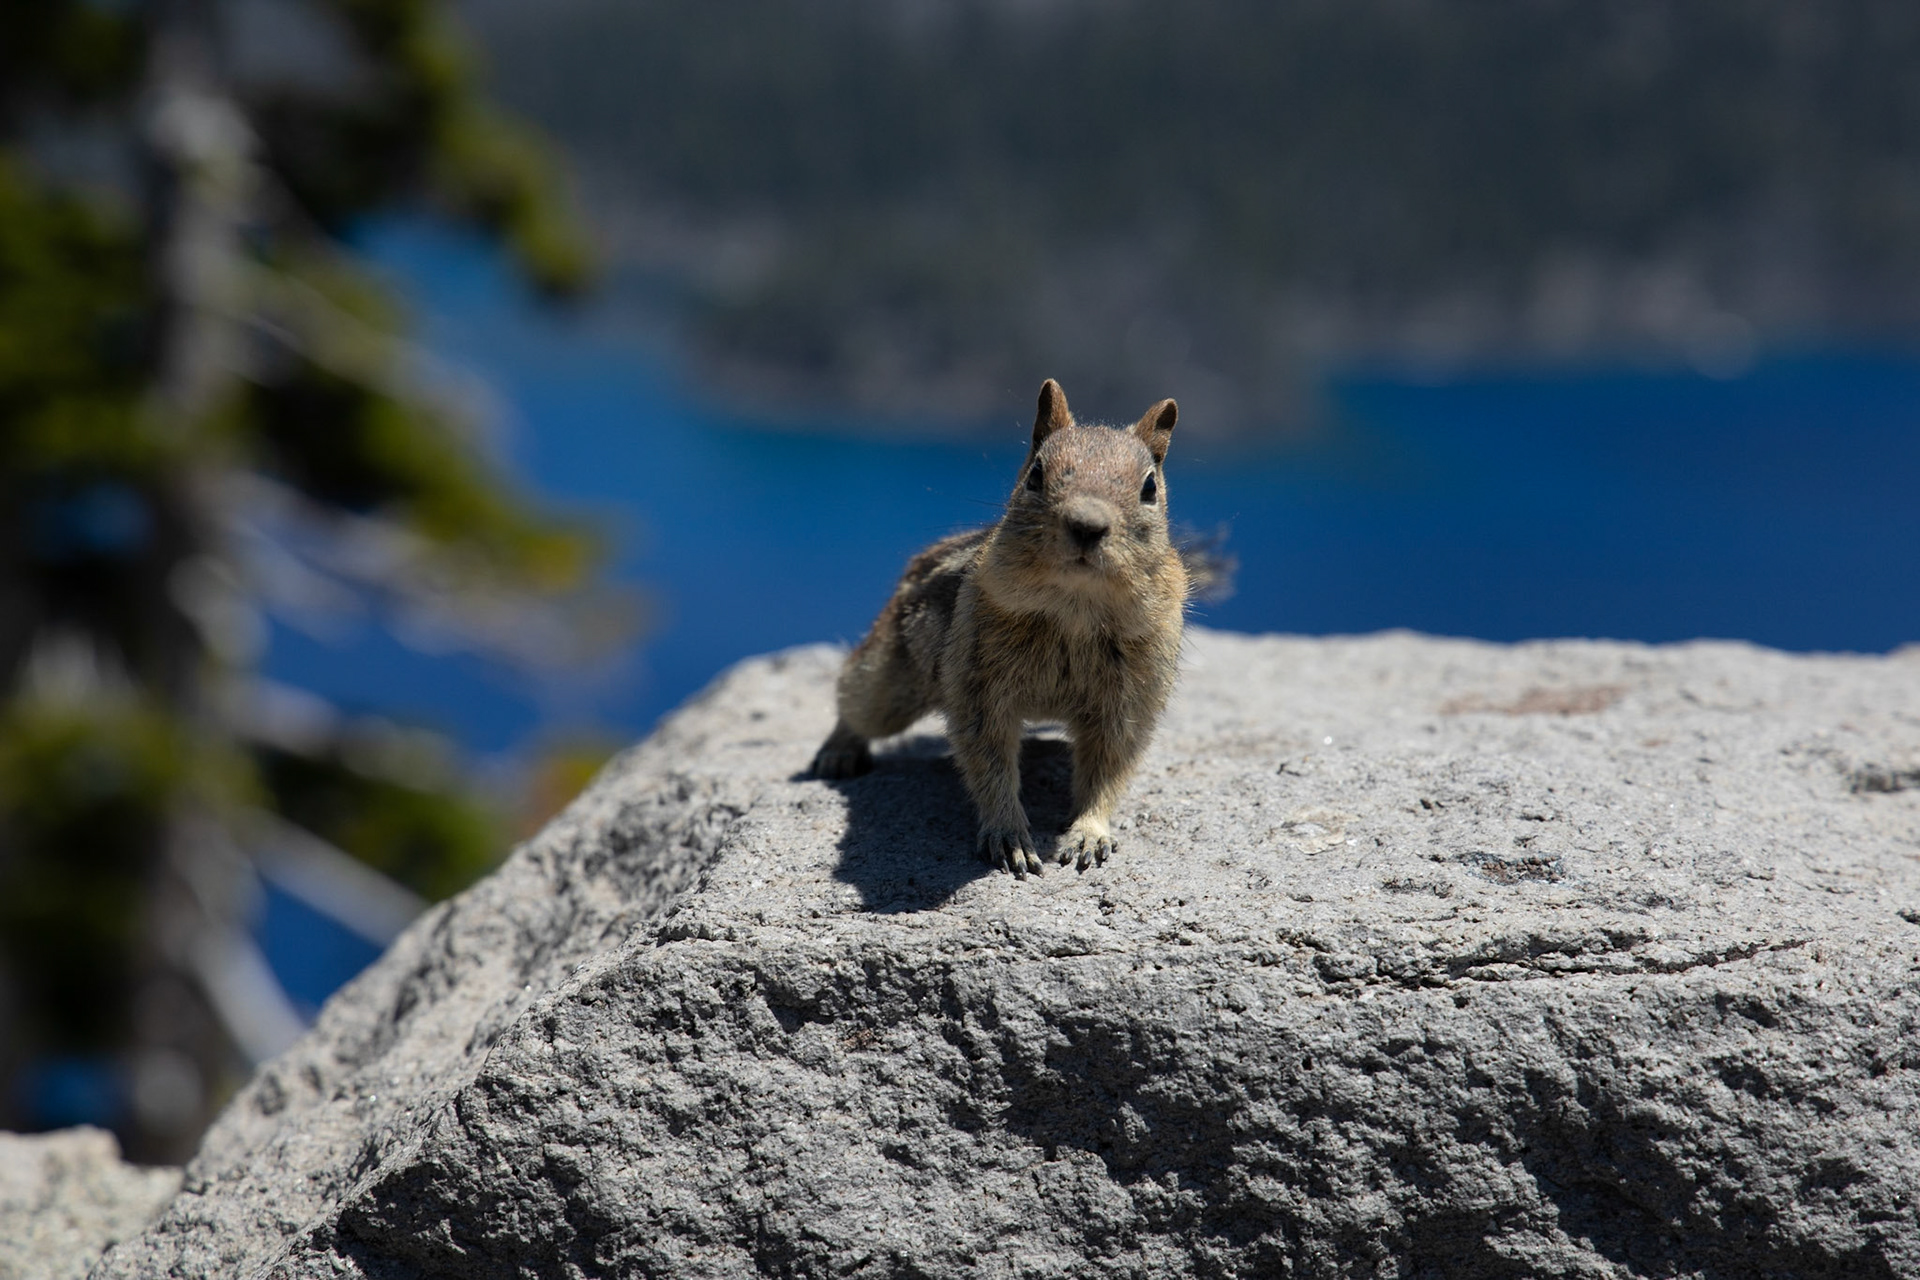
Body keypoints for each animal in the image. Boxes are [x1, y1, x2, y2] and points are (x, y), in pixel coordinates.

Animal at [812, 378, 1204, 878]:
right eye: (1036, 475)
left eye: (1149, 487)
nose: (1087, 525)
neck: (1074, 607)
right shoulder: (978, 686)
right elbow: (989, 758)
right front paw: (1009, 835)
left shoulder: (1131, 699)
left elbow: (1110, 766)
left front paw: (1089, 834)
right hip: (888, 681)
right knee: (855, 700)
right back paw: (837, 754)